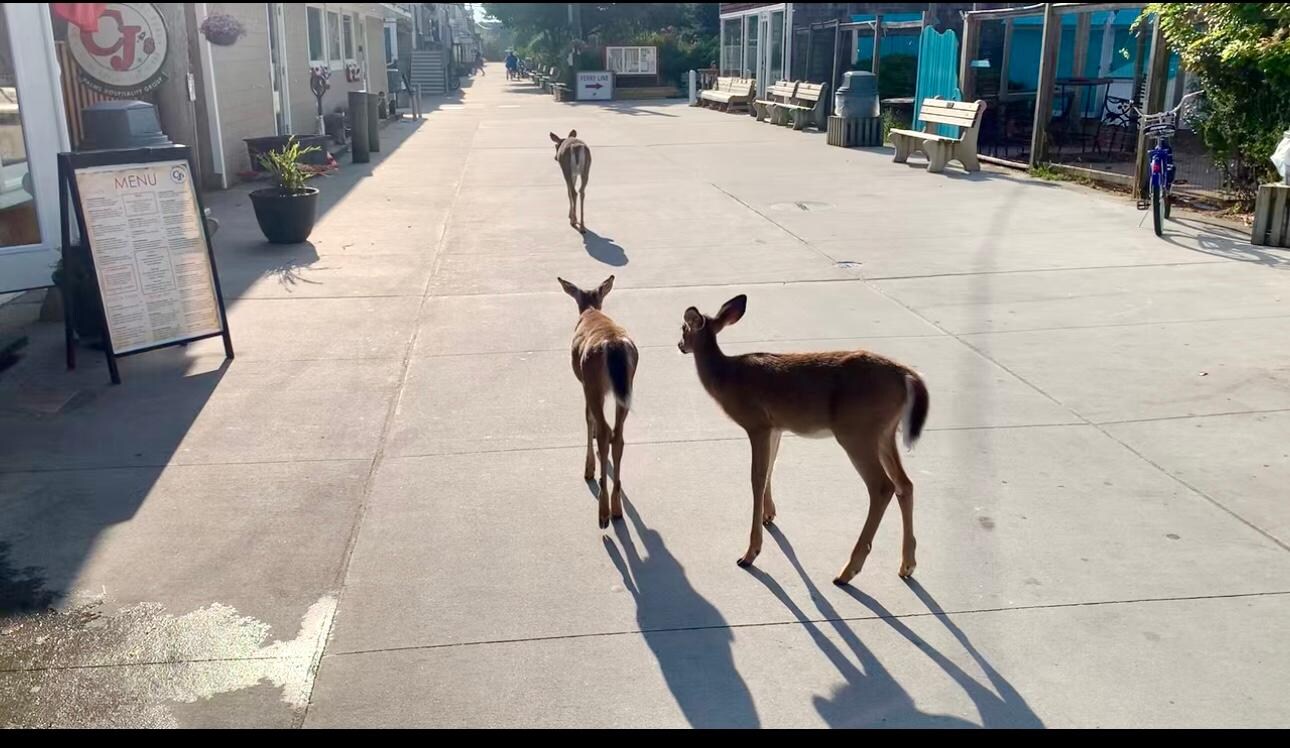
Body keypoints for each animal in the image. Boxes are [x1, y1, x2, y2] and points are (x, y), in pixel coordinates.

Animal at [559, 275, 638, 529]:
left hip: (593, 382)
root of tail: (612, 345)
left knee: (605, 431)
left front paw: (589, 468)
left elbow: (587, 417)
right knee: (618, 435)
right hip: (628, 384)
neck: (591, 310)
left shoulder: (585, 384)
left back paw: (603, 512)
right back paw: (617, 507)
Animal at [677, 295, 930, 586]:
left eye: (683, 328)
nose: (680, 345)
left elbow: (756, 478)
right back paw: (907, 565)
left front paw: (750, 553)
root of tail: (907, 375)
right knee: (905, 484)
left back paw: (847, 572)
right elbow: (769, 469)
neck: (726, 378)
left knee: (882, 487)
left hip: (857, 431)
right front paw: (769, 515)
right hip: (885, 432)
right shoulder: (776, 426)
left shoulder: (757, 423)